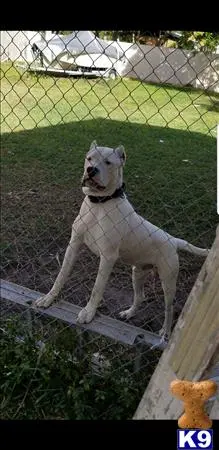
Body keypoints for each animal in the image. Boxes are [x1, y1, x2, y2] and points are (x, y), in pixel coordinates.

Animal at [35, 140, 209, 338]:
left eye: (108, 162)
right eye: (89, 158)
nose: (91, 170)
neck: (99, 204)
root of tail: (173, 240)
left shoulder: (108, 258)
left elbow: (97, 288)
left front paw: (88, 313)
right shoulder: (73, 246)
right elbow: (61, 275)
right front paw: (48, 299)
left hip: (168, 281)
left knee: (169, 309)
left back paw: (164, 331)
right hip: (138, 272)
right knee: (140, 296)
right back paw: (128, 313)